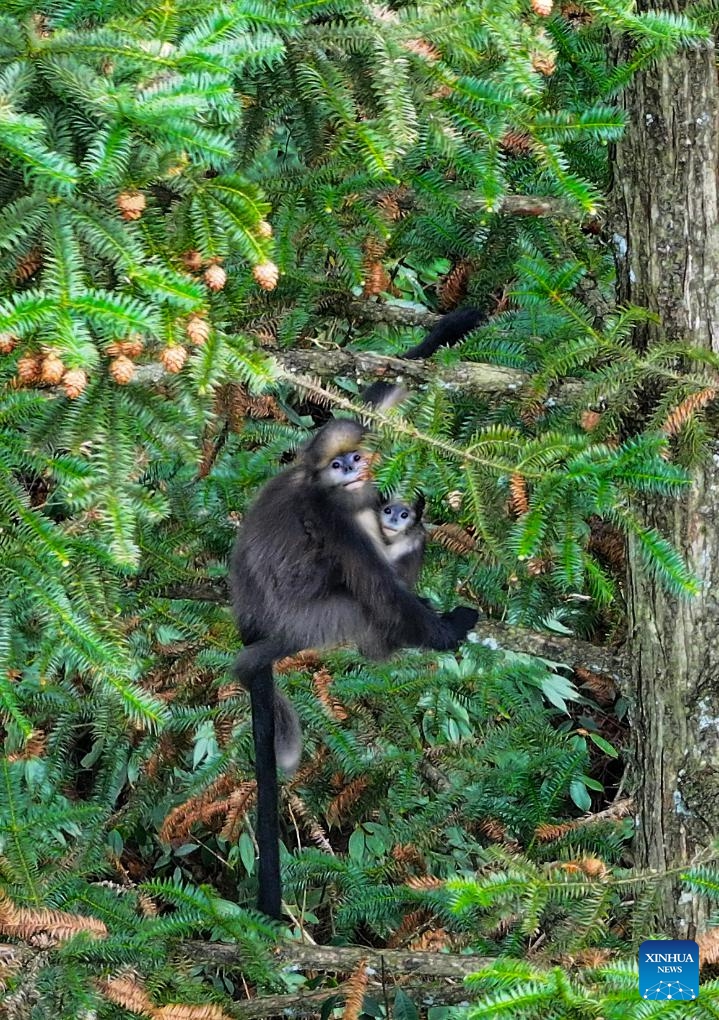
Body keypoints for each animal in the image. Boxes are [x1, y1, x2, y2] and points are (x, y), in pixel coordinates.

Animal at [230, 420, 478, 918]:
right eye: (339, 464)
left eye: (357, 458)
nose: (352, 469)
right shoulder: (338, 521)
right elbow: (382, 591)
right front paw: (447, 630)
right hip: (318, 617)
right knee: (368, 601)